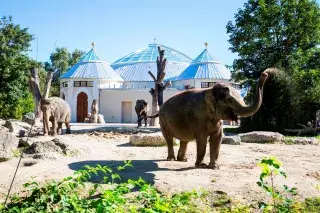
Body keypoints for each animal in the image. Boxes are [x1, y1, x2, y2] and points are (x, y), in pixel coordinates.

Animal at [144, 68, 272, 170]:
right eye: (229, 100)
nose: (265, 74)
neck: (209, 89)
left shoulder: (216, 120)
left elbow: (217, 137)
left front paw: (214, 167)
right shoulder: (197, 116)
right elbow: (202, 139)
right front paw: (201, 166)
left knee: (184, 139)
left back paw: (183, 160)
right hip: (163, 120)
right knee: (169, 138)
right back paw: (171, 159)